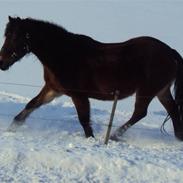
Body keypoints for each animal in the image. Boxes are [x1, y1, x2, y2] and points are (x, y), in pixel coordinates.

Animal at [0, 16, 183, 141]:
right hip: (161, 91)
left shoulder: (78, 95)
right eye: (6, 35)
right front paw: (9, 130)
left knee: (140, 112)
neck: (63, 55)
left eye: (15, 37)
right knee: (173, 111)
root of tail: (170, 52)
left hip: (147, 91)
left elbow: (84, 121)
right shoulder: (52, 89)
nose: (2, 62)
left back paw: (113, 136)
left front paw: (91, 140)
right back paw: (178, 139)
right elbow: (30, 106)